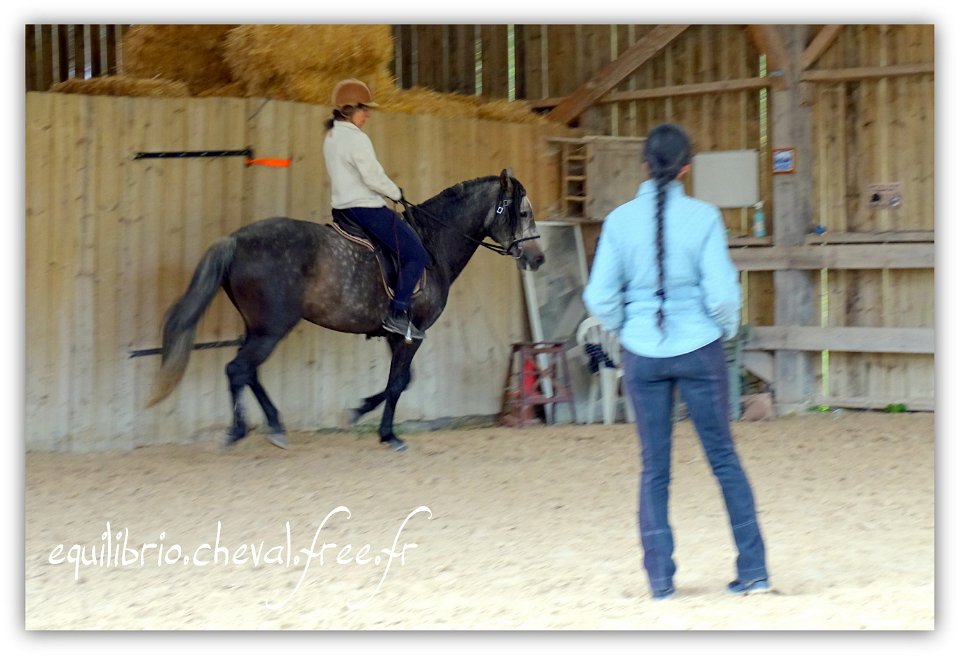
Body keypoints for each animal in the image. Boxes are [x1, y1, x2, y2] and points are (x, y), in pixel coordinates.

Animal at [146, 168, 544, 452]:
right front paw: (389, 435)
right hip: (271, 328)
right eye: (524, 212)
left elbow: (401, 380)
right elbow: (399, 382)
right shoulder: (414, 333)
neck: (433, 245)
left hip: (258, 327)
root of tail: (235, 240)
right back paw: (239, 430)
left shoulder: (396, 333)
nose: (538, 259)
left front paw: (360, 411)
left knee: (248, 371)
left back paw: (275, 426)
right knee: (238, 369)